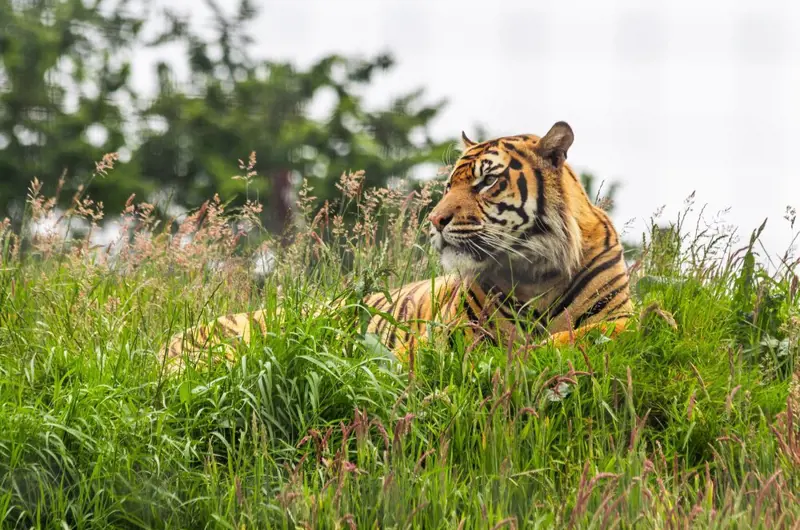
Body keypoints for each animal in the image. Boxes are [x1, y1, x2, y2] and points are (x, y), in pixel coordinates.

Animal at [160, 121, 634, 373]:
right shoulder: (442, 341)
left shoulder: (619, 317)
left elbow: (600, 331)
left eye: (486, 181)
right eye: (449, 185)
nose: (435, 221)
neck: (537, 273)